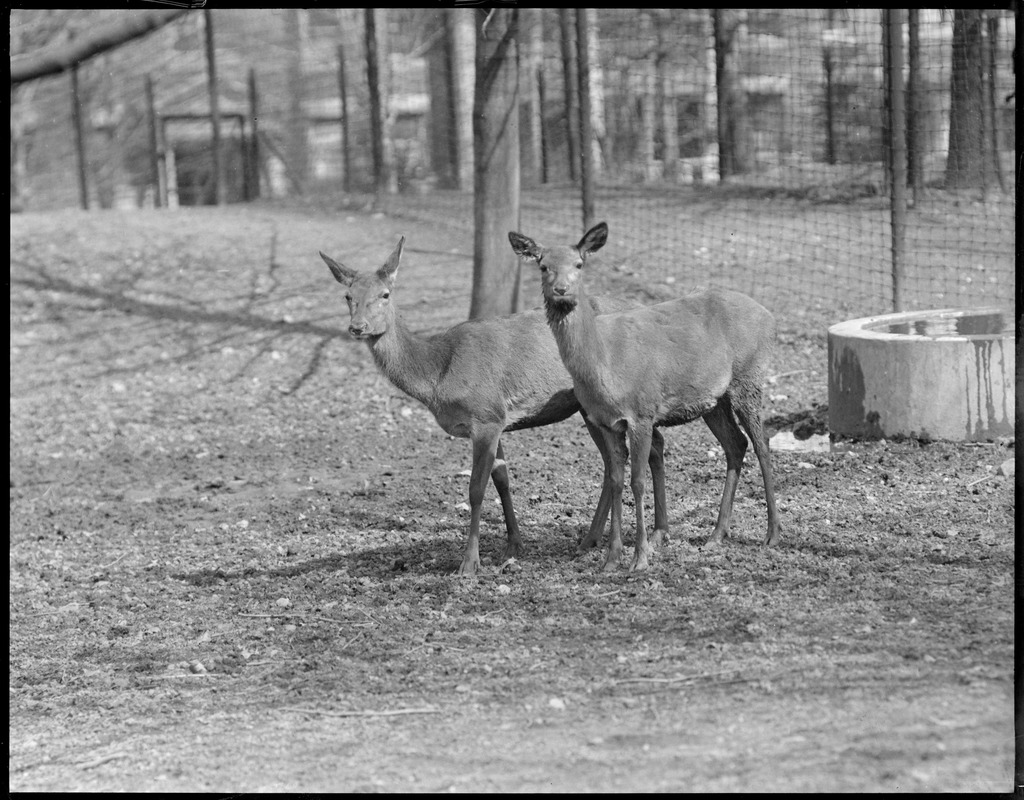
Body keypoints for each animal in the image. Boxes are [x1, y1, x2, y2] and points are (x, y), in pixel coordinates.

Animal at [319, 235, 671, 573]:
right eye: (347, 296)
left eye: (385, 294)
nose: (357, 327)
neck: (439, 374)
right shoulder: (495, 417)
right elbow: (501, 480)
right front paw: (513, 545)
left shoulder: (485, 415)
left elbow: (476, 489)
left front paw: (469, 563)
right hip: (591, 406)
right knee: (633, 453)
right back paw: (608, 538)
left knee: (632, 452)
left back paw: (627, 537)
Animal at [507, 220, 778, 569]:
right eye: (543, 266)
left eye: (579, 264)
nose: (562, 290)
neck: (606, 368)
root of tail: (770, 317)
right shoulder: (605, 420)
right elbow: (615, 479)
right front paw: (611, 558)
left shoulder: (643, 412)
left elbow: (637, 480)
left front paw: (640, 557)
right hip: (714, 401)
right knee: (736, 444)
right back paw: (717, 534)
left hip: (750, 376)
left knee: (762, 443)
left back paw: (772, 534)